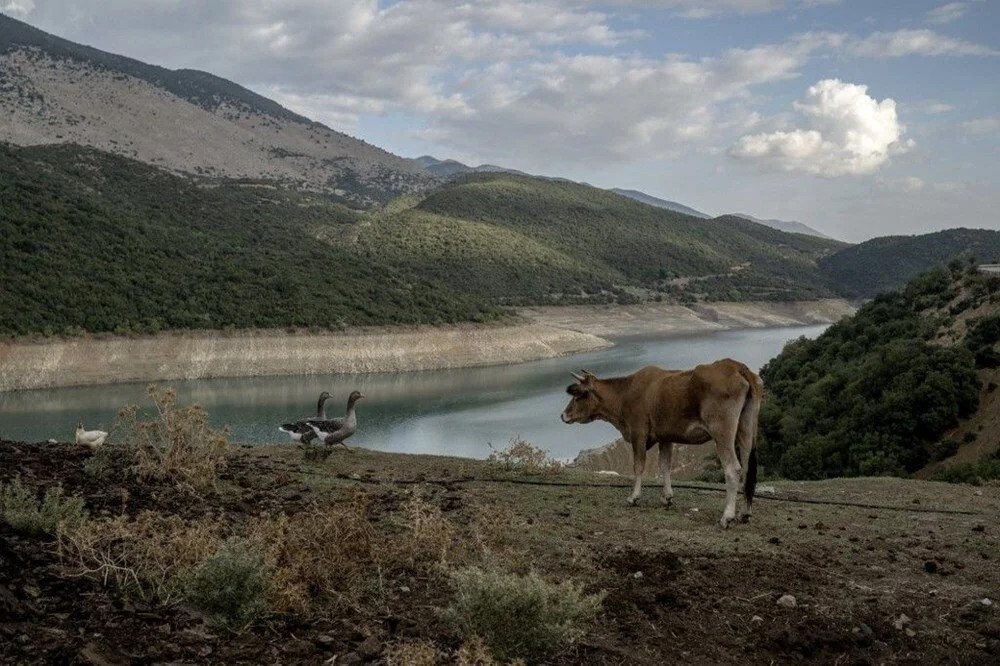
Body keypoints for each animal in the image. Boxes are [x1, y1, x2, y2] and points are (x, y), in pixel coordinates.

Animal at [560, 360, 760, 528]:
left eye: (579, 395)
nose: (563, 415)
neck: (625, 394)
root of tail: (735, 365)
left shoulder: (638, 433)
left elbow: (639, 466)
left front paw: (633, 497)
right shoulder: (665, 436)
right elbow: (664, 465)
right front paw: (667, 497)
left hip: (722, 431)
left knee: (733, 468)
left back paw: (727, 517)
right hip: (746, 427)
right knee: (748, 467)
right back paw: (745, 513)